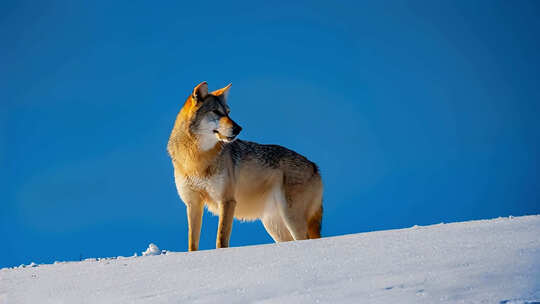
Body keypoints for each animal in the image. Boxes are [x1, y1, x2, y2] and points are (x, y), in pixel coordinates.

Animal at [167, 82, 322, 251]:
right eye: (216, 111)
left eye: (228, 112)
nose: (239, 128)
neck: (196, 160)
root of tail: (315, 166)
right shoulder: (192, 203)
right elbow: (192, 243)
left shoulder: (227, 201)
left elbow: (221, 239)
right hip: (274, 225)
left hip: (290, 217)